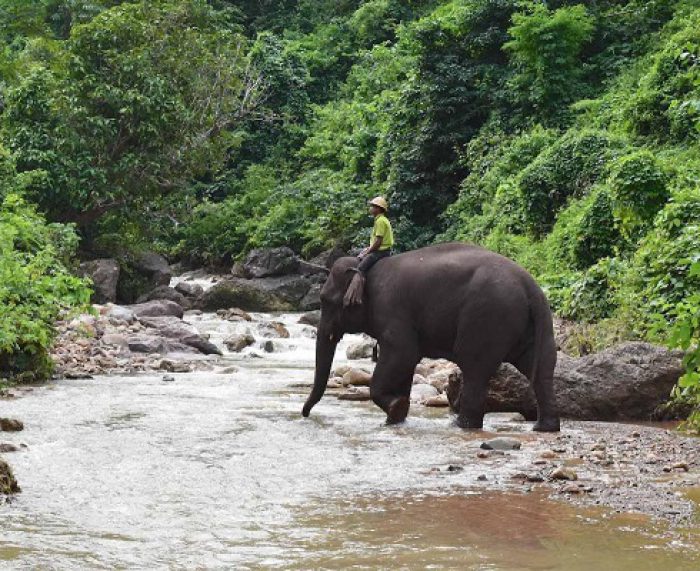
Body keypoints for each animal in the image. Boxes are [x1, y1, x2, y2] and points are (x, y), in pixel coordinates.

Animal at [302, 242, 560, 432]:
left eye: (326, 301)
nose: (304, 414)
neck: (365, 268)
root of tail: (530, 286)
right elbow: (404, 365)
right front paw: (396, 418)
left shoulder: (392, 309)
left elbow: (403, 355)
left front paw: (396, 409)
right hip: (535, 323)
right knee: (541, 369)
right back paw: (544, 427)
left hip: (488, 316)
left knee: (474, 367)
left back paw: (461, 426)